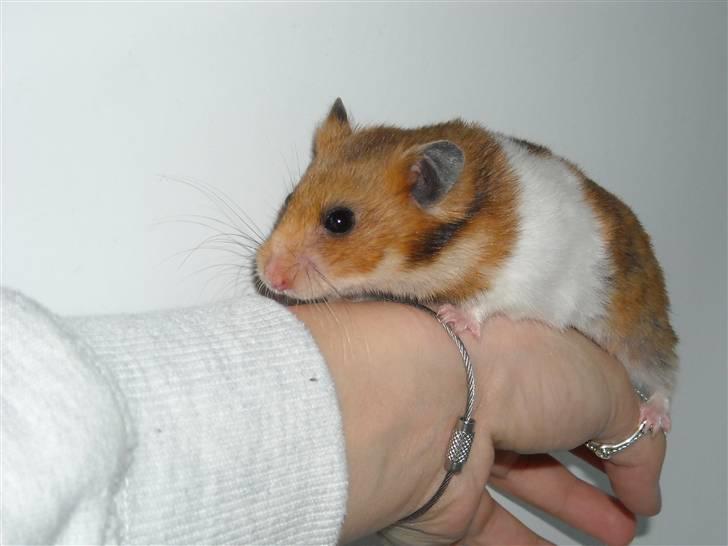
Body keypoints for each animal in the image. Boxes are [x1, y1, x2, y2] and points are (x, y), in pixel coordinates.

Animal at [255, 98, 678, 434]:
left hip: (637, 325)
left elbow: (483, 303)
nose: (267, 276)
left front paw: (452, 317)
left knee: (665, 374)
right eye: (290, 198)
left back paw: (653, 419)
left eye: (339, 221)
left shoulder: (513, 282)